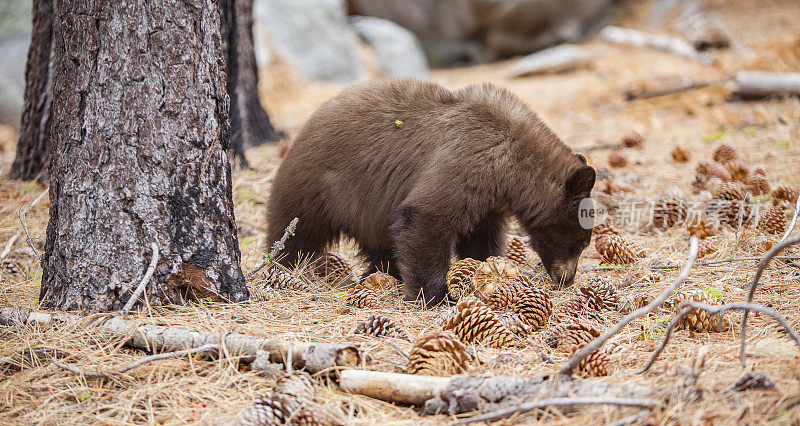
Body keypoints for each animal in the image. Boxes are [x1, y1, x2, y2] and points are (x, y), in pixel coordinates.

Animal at [268, 79, 592, 306]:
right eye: (584, 242)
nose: (568, 279)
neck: (512, 164)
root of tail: (307, 124)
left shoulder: (488, 200)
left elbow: (481, 237)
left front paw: (486, 268)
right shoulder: (467, 160)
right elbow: (427, 216)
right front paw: (436, 295)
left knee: (381, 243)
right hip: (316, 185)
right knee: (294, 230)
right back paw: (282, 266)